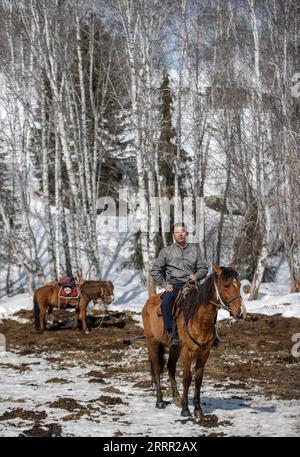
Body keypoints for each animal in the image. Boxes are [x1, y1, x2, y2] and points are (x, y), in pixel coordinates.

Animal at [142, 264, 246, 416]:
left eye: (239, 284)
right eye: (226, 285)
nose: (241, 312)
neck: (199, 318)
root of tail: (148, 302)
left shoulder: (204, 353)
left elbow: (198, 379)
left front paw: (198, 409)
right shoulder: (187, 352)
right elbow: (187, 378)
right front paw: (186, 410)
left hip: (175, 347)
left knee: (170, 367)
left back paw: (177, 398)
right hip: (153, 342)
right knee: (156, 369)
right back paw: (160, 401)